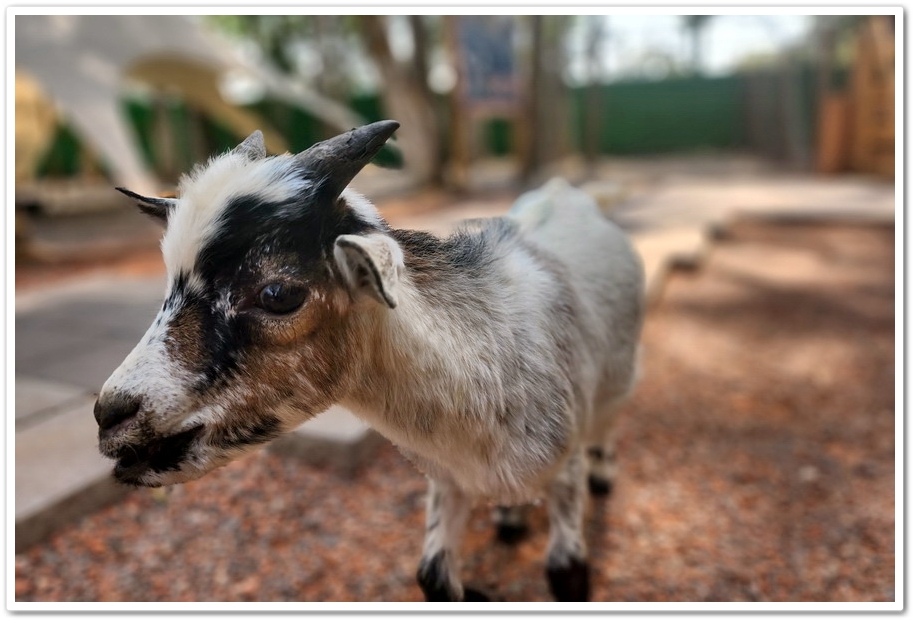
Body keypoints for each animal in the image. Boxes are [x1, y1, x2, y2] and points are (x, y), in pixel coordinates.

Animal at [95, 119, 644, 604]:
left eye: (277, 294)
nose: (109, 415)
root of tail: (564, 191)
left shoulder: (564, 469)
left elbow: (567, 573)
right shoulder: (447, 480)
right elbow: (432, 578)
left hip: (616, 386)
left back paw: (604, 476)